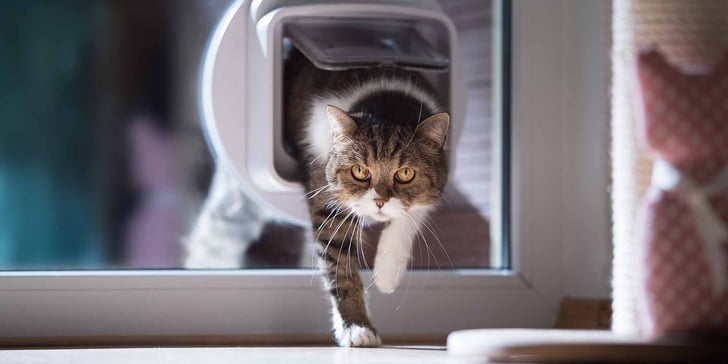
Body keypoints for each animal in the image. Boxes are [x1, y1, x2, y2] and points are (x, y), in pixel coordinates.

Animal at [284, 48, 450, 346]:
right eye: (360, 171)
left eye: (405, 173)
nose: (379, 201)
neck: (388, 104)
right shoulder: (327, 198)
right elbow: (340, 266)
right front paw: (356, 327)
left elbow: (412, 214)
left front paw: (386, 273)